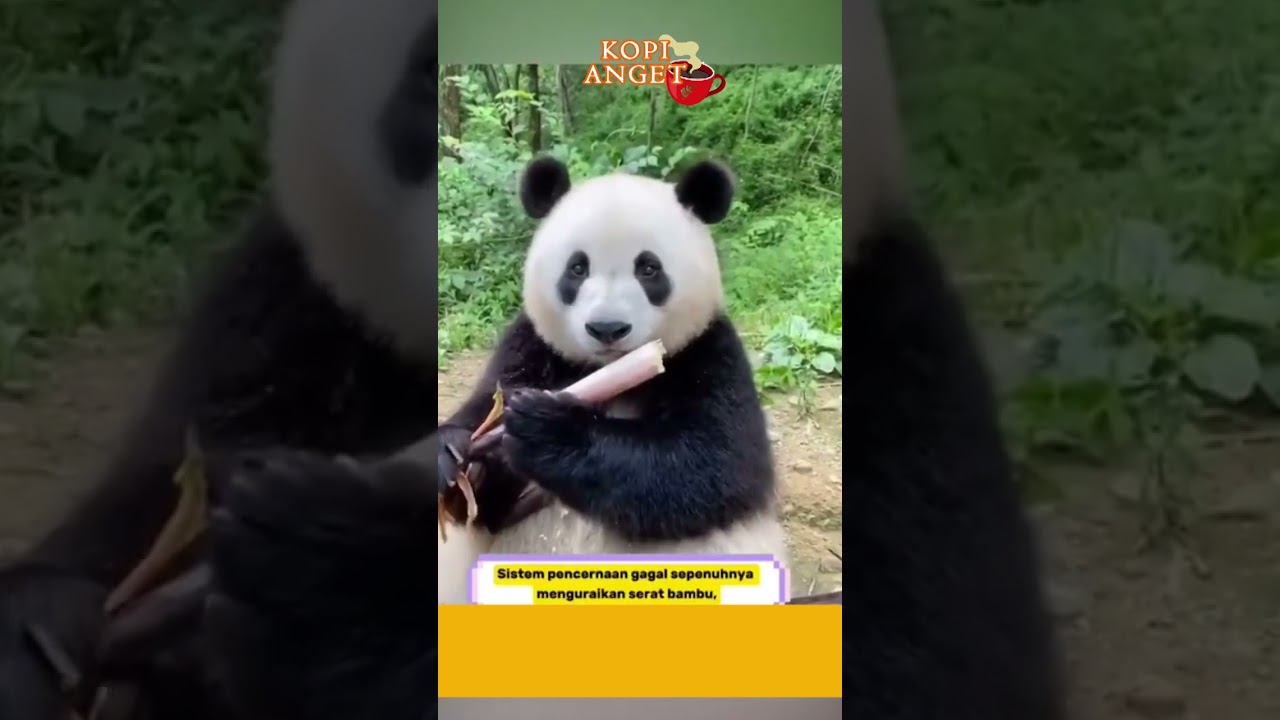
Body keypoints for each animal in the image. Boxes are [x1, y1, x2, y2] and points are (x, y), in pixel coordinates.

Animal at [434, 156, 789, 604]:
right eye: (577, 267)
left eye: (649, 268)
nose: (607, 328)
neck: (607, 372)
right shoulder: (533, 347)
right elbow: (483, 466)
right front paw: (463, 455)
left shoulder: (708, 352)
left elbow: (712, 464)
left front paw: (549, 430)